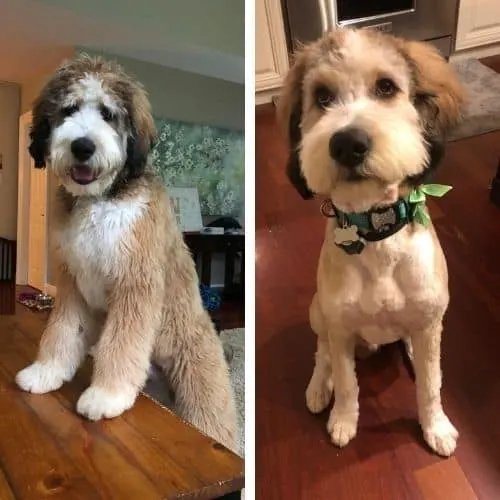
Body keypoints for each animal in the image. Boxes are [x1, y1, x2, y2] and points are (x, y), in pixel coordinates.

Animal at [13, 53, 236, 450]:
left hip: (201, 397)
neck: (101, 200)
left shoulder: (135, 283)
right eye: (68, 109)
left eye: (107, 113)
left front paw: (107, 395)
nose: (83, 147)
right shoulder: (73, 283)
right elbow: (62, 332)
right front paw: (46, 372)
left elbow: (122, 343)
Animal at [278, 28, 464, 458]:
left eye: (386, 87)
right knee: (323, 351)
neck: (377, 235)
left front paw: (435, 426)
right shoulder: (340, 325)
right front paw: (344, 421)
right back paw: (319, 384)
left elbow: (430, 387)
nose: (348, 143)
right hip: (318, 311)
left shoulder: (431, 318)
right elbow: (348, 384)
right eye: (323, 97)